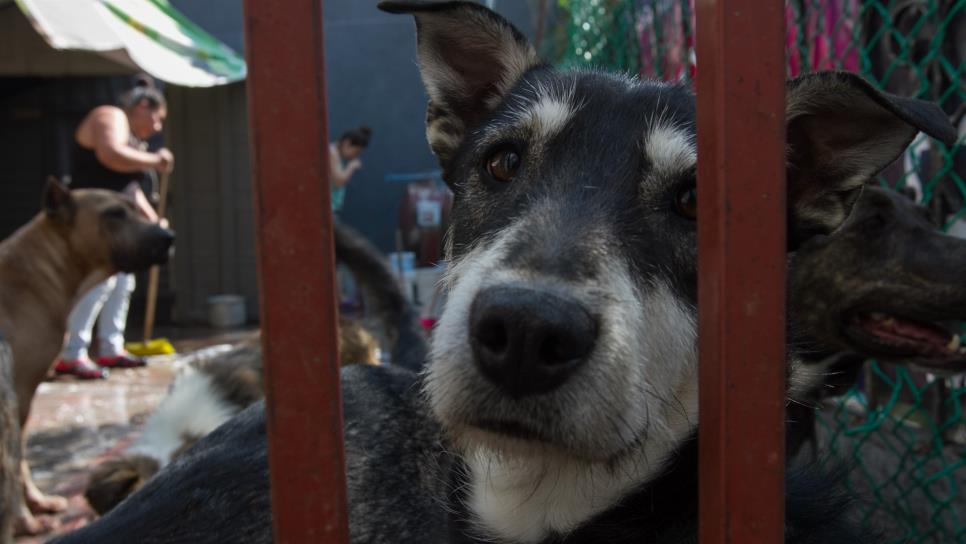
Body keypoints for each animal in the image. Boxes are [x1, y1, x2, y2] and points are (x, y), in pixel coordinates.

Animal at [0, 181, 174, 536]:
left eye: (134, 208)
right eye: (114, 213)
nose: (168, 236)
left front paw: (36, 505)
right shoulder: (18, 391)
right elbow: (17, 462)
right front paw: (27, 518)